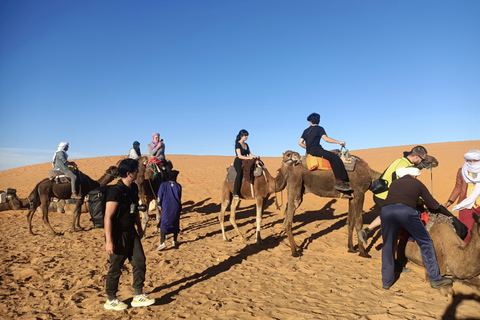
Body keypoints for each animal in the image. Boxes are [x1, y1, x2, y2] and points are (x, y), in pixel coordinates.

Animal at [282, 150, 442, 258]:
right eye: (422, 155)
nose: (435, 160)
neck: (373, 176)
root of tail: (289, 168)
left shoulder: (351, 196)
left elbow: (350, 222)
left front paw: (351, 248)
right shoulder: (360, 193)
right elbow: (359, 222)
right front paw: (363, 252)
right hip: (296, 186)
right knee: (289, 219)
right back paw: (295, 251)